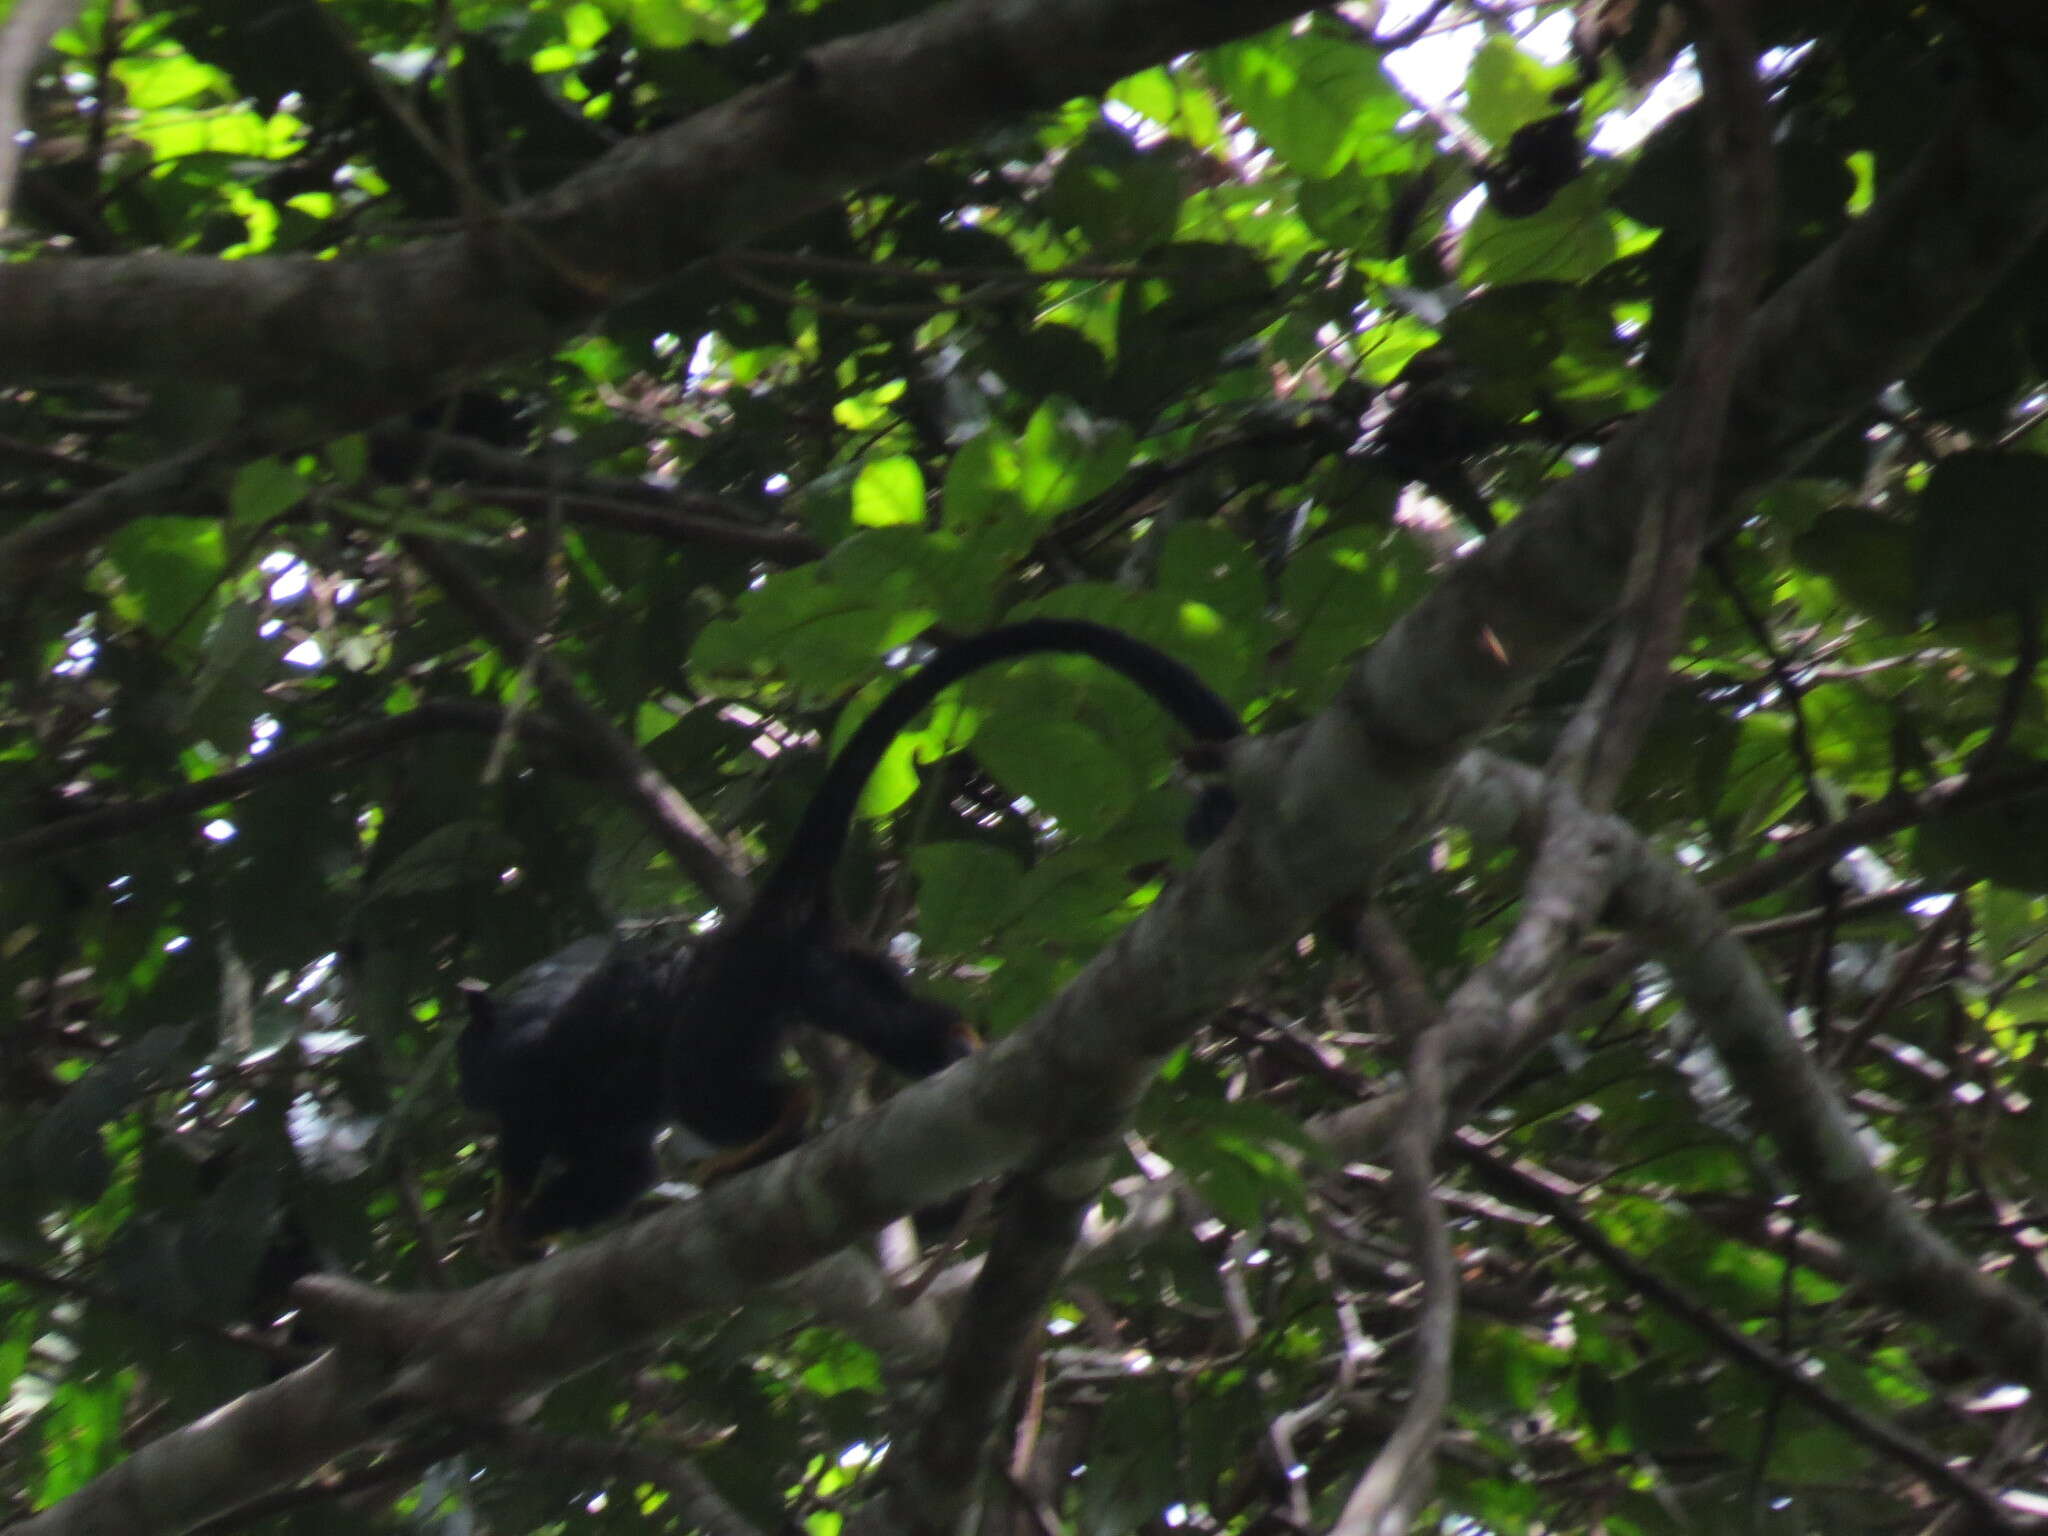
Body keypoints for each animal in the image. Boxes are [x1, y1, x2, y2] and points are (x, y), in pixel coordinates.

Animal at [458, 622, 1236, 1253]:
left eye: (467, 1065)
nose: (465, 1092)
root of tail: (767, 915)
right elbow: (616, 1166)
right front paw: (515, 1221)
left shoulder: (533, 1086)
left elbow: (611, 1163)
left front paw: (515, 1222)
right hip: (822, 964)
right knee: (885, 1017)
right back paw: (955, 1052)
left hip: (730, 997)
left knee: (698, 1079)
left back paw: (779, 1125)